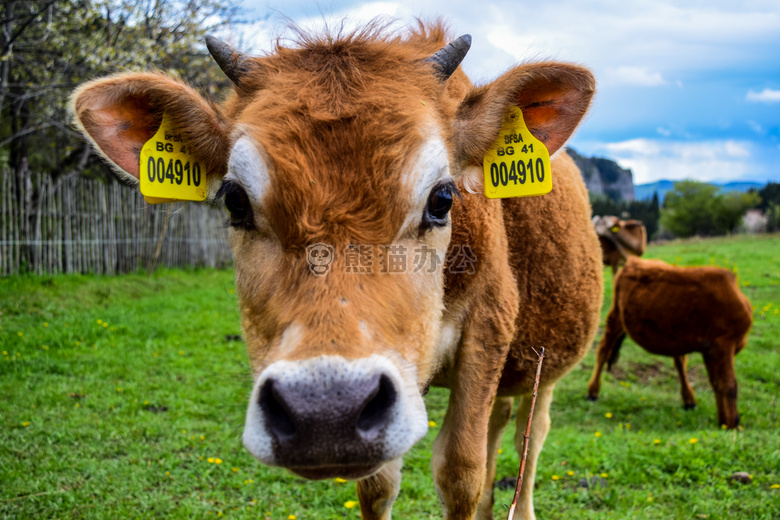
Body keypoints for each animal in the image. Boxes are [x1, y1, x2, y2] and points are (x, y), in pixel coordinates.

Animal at [71, 21, 604, 520]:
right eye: (235, 200)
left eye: (442, 198)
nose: (326, 411)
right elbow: (379, 485)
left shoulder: (488, 327)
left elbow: (460, 471)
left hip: (543, 366)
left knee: (529, 435)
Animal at [588, 256, 752, 430]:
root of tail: (633, 261)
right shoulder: (721, 345)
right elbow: (728, 384)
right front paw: (732, 424)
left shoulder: (710, 350)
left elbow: (716, 382)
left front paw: (724, 421)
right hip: (615, 316)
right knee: (603, 350)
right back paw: (592, 392)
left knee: (680, 362)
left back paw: (689, 400)